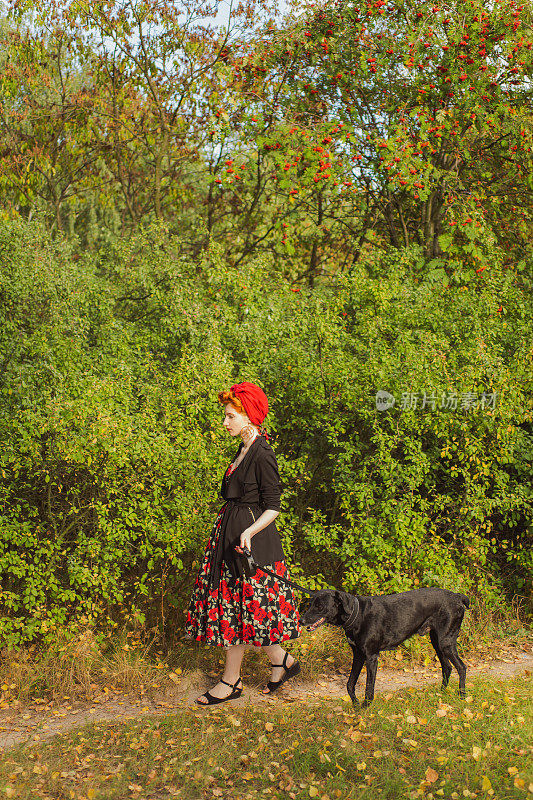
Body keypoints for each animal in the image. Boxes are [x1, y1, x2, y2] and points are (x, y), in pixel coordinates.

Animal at [302, 588, 468, 708]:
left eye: (320, 606)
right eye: (310, 604)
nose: (301, 620)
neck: (357, 614)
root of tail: (458, 596)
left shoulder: (371, 657)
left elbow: (369, 686)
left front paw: (365, 707)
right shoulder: (358, 655)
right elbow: (350, 684)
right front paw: (355, 705)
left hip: (445, 643)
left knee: (461, 667)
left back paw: (462, 696)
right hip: (437, 642)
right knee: (447, 667)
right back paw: (441, 694)